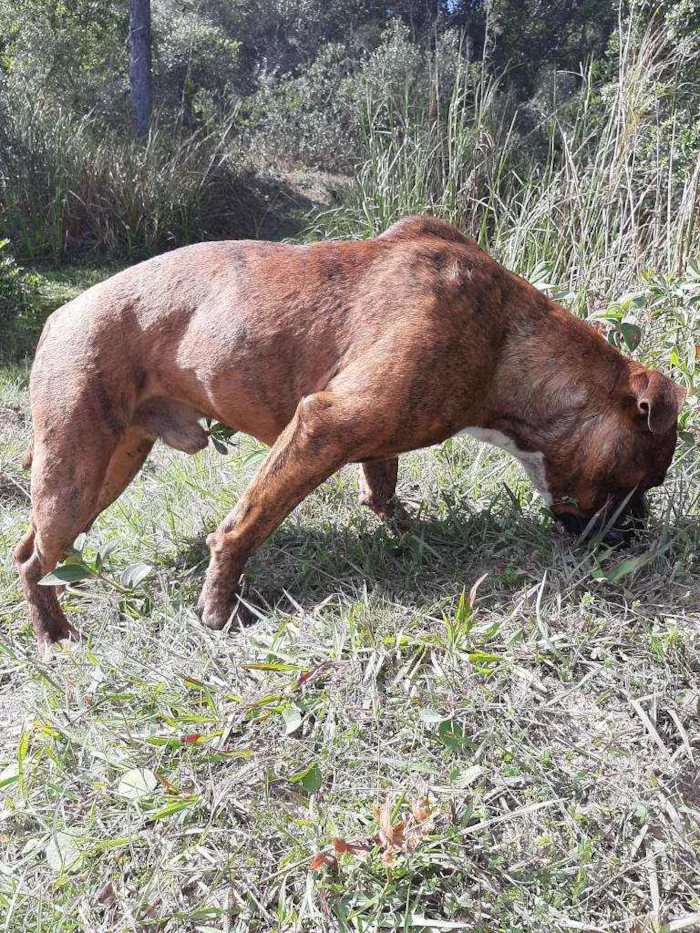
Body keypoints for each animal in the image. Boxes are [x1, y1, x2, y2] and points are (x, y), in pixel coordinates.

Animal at [13, 217, 688, 656]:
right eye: (646, 479)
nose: (638, 533)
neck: (506, 345)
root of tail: (60, 315)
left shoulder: (374, 434)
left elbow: (383, 491)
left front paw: (407, 532)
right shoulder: (321, 428)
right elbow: (244, 525)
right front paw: (218, 607)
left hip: (106, 468)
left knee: (32, 547)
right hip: (74, 471)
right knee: (29, 560)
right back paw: (56, 636)